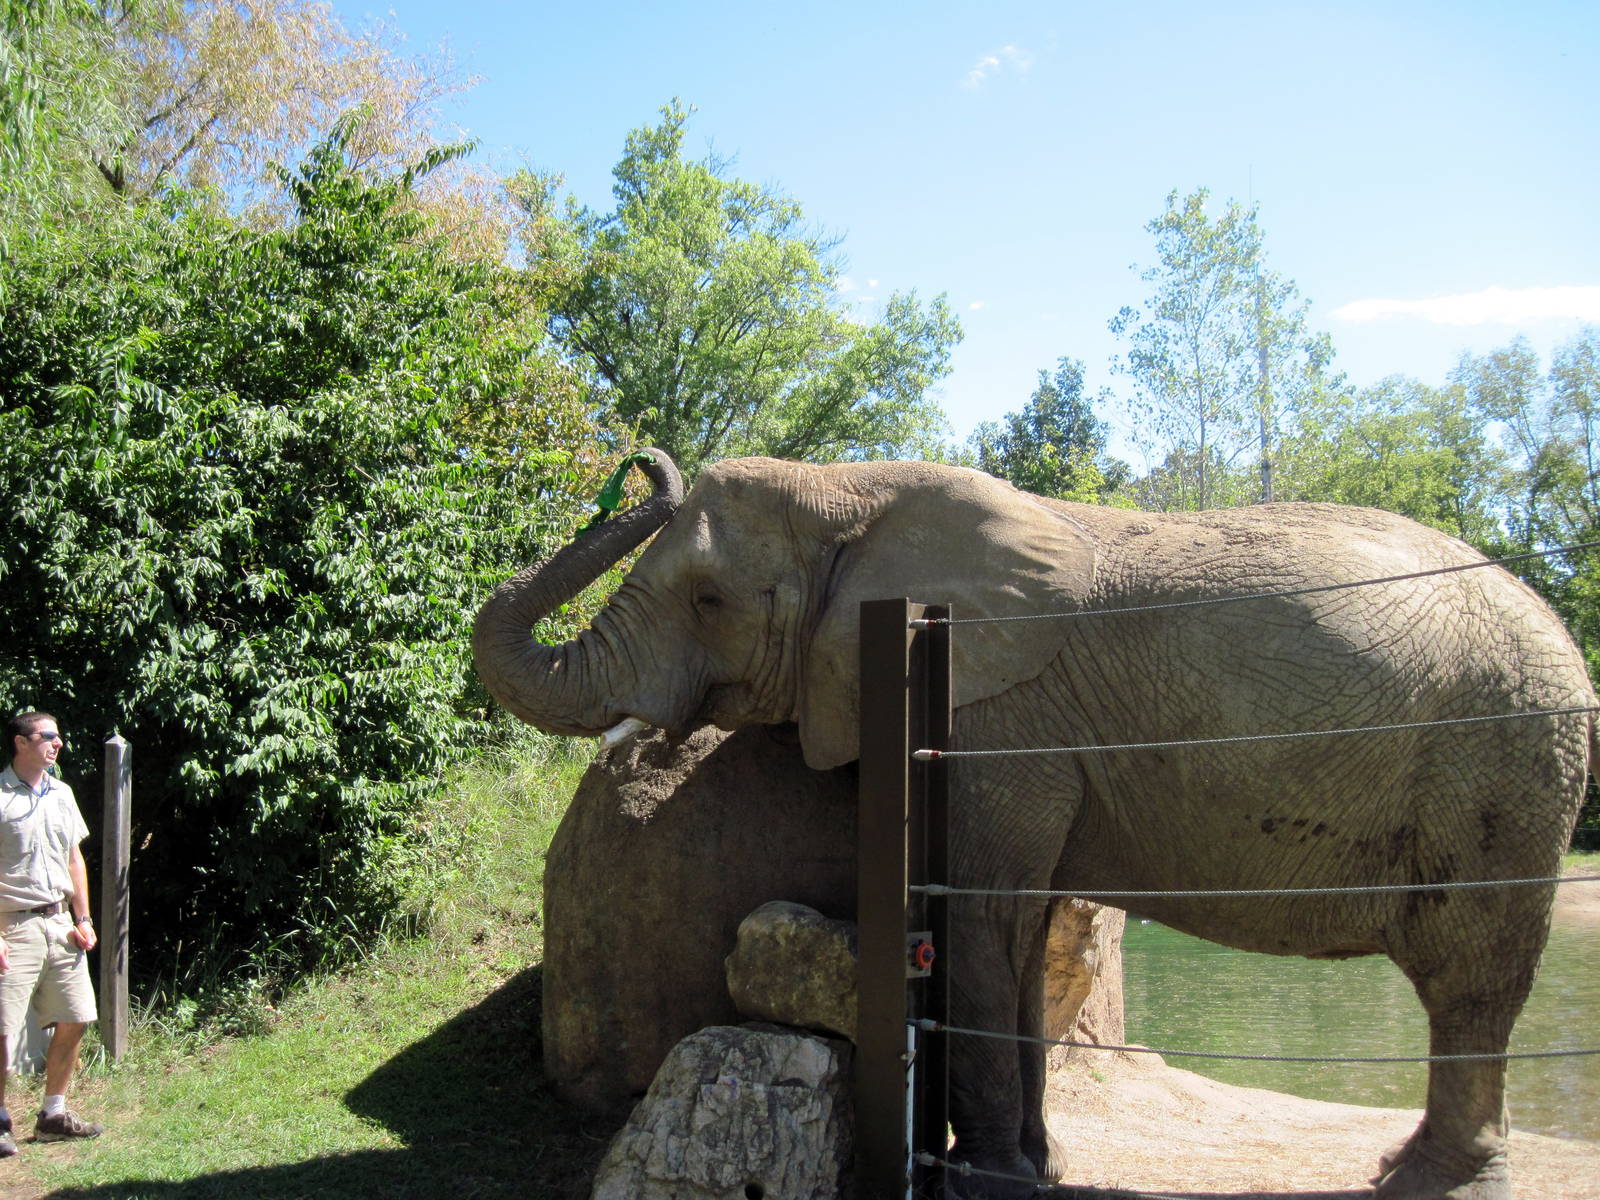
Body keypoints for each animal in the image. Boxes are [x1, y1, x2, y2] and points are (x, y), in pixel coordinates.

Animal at [473, 448, 1594, 1200]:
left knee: (1469, 977)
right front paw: (1035, 1167)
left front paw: (991, 1178)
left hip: (1502, 766)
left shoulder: (996, 718)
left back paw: (1421, 1182)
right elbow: (1018, 929)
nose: (643, 464)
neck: (854, 487)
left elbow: (983, 914)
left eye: (709, 600)